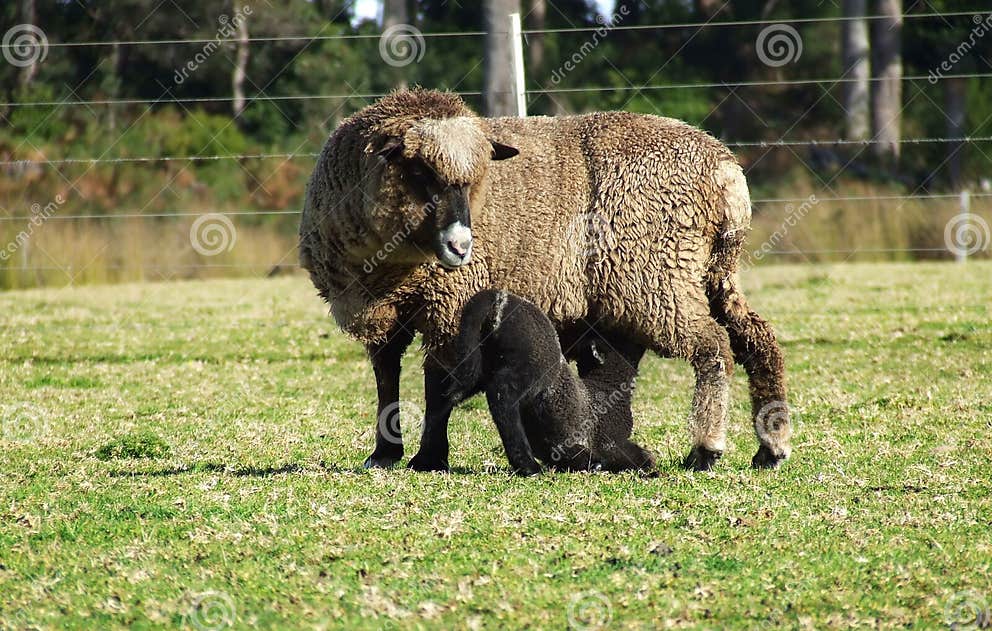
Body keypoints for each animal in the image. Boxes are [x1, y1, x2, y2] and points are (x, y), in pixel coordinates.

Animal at [447, 289, 655, 475]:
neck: (607, 384)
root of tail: (501, 298)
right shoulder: (610, 439)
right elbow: (641, 456)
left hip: (477, 359)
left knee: (449, 393)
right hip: (529, 367)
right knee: (502, 396)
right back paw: (528, 467)